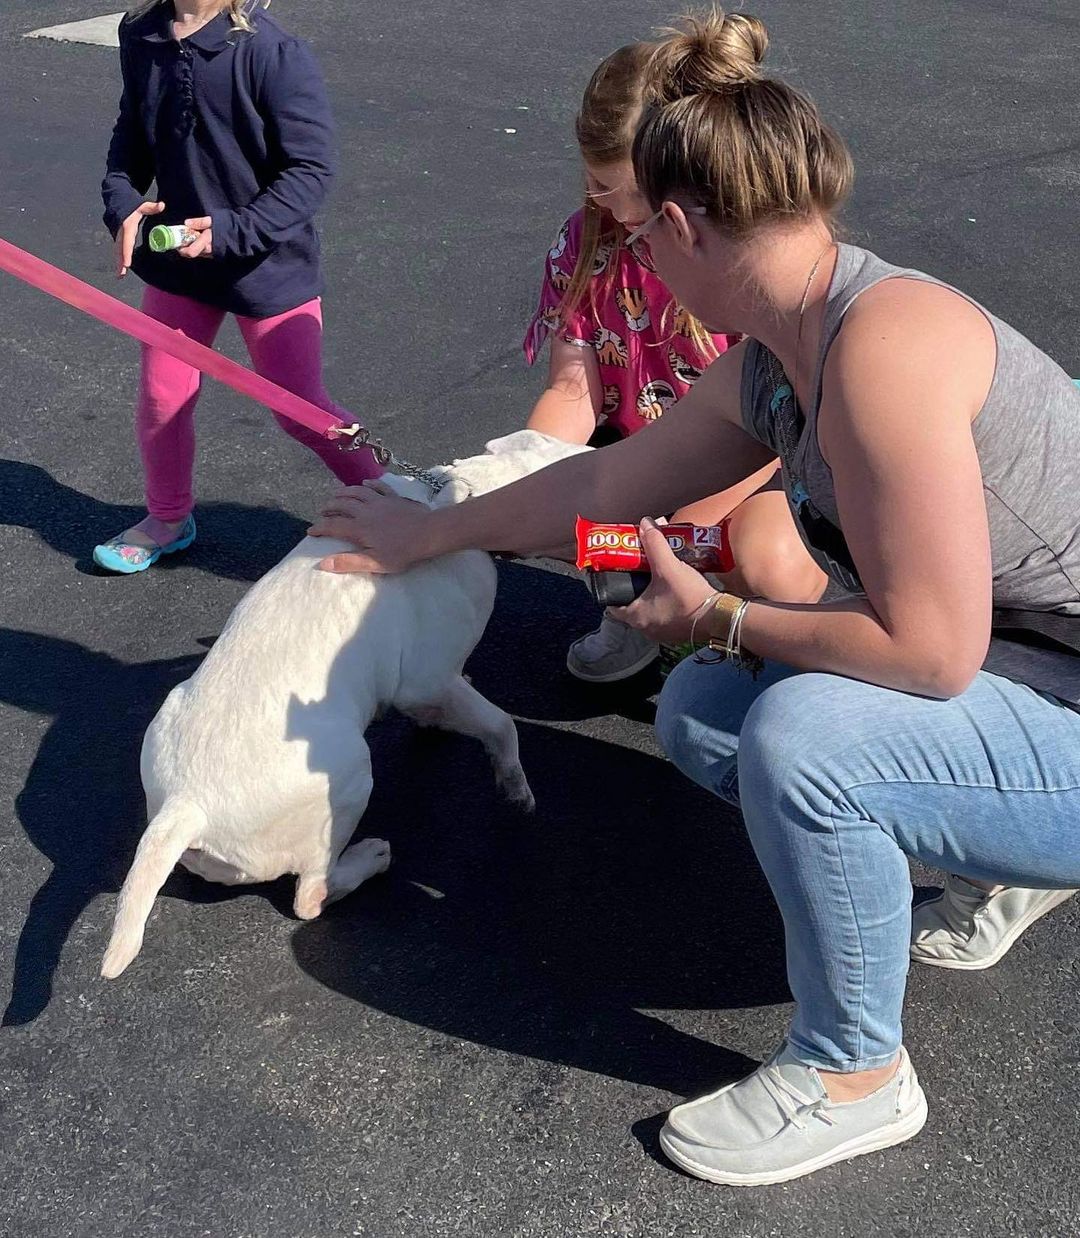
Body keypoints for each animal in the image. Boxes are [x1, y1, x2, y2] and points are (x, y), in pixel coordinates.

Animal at [101, 430, 587, 980]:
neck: (463, 496)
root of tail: (186, 805)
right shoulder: (427, 678)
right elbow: (502, 725)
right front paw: (515, 788)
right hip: (349, 779)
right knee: (310, 896)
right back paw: (368, 859)